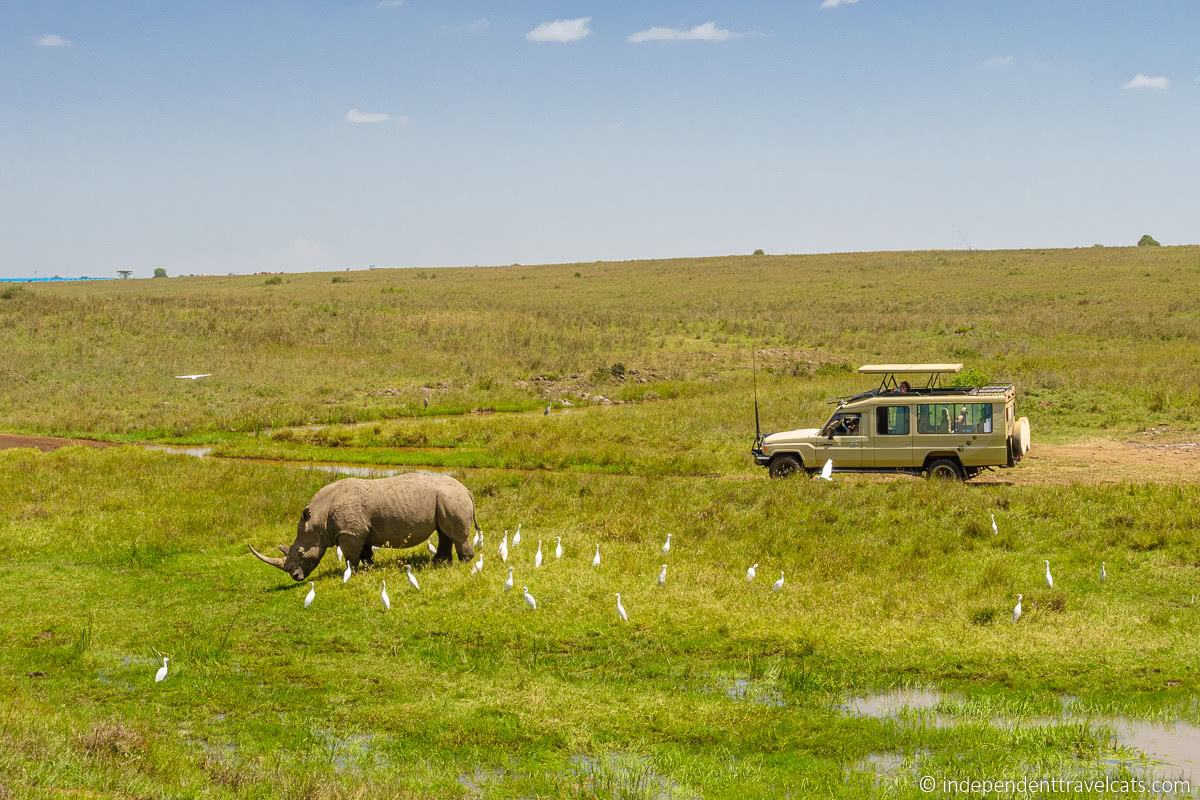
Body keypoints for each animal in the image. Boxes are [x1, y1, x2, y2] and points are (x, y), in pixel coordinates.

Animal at [248, 472, 477, 578]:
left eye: (301, 553)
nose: (296, 577)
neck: (318, 520)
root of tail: (466, 489)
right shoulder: (360, 531)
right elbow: (366, 553)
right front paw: (368, 569)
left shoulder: (349, 532)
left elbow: (351, 556)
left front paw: (353, 573)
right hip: (445, 498)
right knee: (443, 532)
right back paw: (439, 563)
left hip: (451, 497)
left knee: (454, 534)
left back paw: (464, 564)